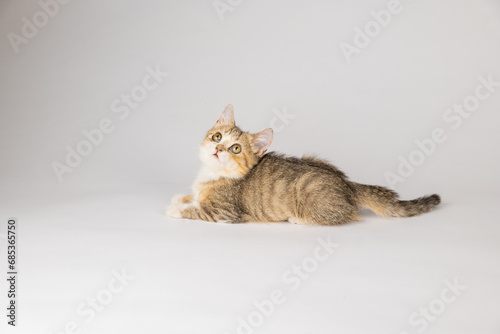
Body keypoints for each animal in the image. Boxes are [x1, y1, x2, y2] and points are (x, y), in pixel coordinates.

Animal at [166, 104, 440, 224]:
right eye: (217, 137)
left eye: (235, 149)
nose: (218, 149)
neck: (212, 174)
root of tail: (347, 184)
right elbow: (194, 198)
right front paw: (181, 198)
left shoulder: (225, 212)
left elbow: (199, 210)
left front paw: (176, 209)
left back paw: (299, 219)